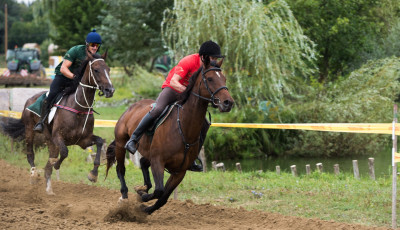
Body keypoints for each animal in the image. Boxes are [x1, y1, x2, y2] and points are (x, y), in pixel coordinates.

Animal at [0, 49, 114, 194]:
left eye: (108, 69)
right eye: (96, 70)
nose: (110, 90)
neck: (79, 107)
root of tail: (29, 100)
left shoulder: (83, 140)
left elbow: (99, 142)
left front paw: (93, 174)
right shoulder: (58, 137)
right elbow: (64, 152)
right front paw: (56, 164)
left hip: (49, 140)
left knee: (49, 163)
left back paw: (49, 189)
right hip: (30, 130)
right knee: (30, 154)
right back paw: (34, 174)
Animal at [105, 58, 234, 214]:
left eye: (224, 78)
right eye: (210, 79)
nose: (228, 103)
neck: (182, 127)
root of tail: (132, 106)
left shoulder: (180, 171)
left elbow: (163, 197)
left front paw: (145, 206)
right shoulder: (158, 161)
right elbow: (159, 190)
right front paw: (142, 196)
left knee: (143, 163)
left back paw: (144, 188)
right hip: (120, 143)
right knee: (121, 169)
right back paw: (124, 196)